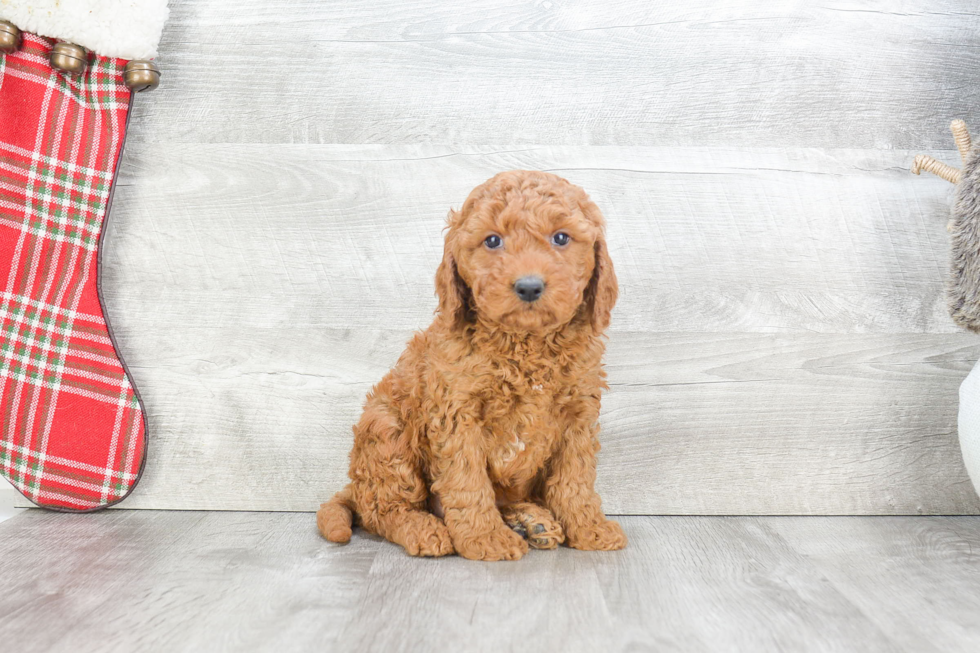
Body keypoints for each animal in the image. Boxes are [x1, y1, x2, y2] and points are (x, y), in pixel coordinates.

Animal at [322, 169, 628, 560]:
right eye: (492, 241)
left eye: (561, 237)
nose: (529, 287)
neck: (526, 344)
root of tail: (356, 484)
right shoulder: (457, 414)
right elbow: (467, 481)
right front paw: (486, 538)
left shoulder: (579, 414)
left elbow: (576, 479)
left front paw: (590, 528)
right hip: (386, 432)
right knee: (383, 509)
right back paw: (423, 528)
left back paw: (532, 521)